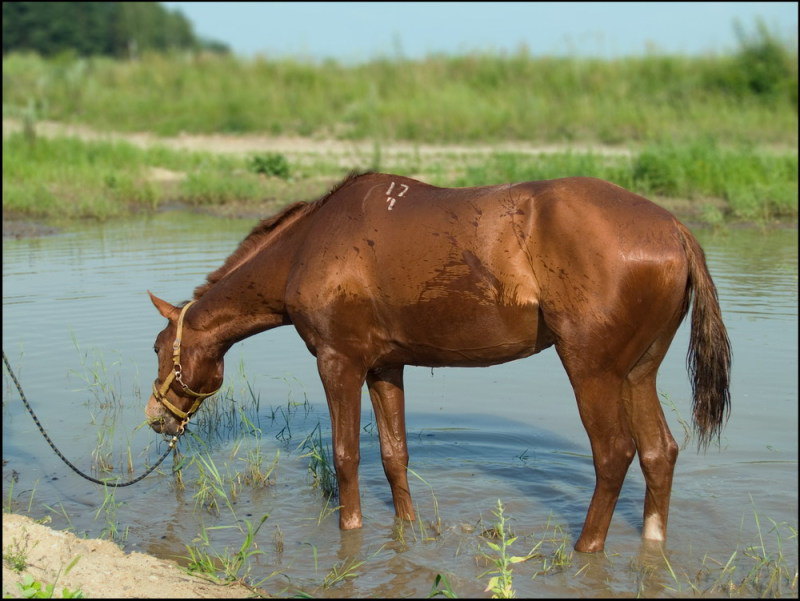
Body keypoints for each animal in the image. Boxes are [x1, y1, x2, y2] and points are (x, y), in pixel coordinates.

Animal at [145, 171, 732, 552]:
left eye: (156, 348)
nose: (156, 418)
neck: (307, 247)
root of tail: (674, 228)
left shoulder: (339, 363)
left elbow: (345, 456)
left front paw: (351, 532)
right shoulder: (384, 367)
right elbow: (393, 455)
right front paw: (406, 530)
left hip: (591, 370)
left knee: (613, 454)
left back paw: (585, 549)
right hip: (637, 373)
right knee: (658, 452)